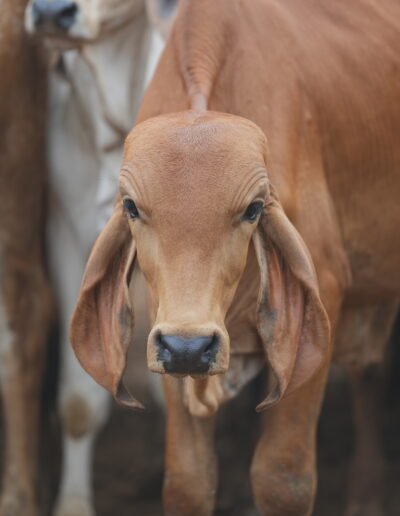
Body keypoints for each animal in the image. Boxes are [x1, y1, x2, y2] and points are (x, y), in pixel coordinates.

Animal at [71, 0, 400, 515]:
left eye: (253, 209)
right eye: (131, 207)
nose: (189, 347)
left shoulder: (322, 300)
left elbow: (283, 478)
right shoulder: (167, 336)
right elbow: (188, 481)